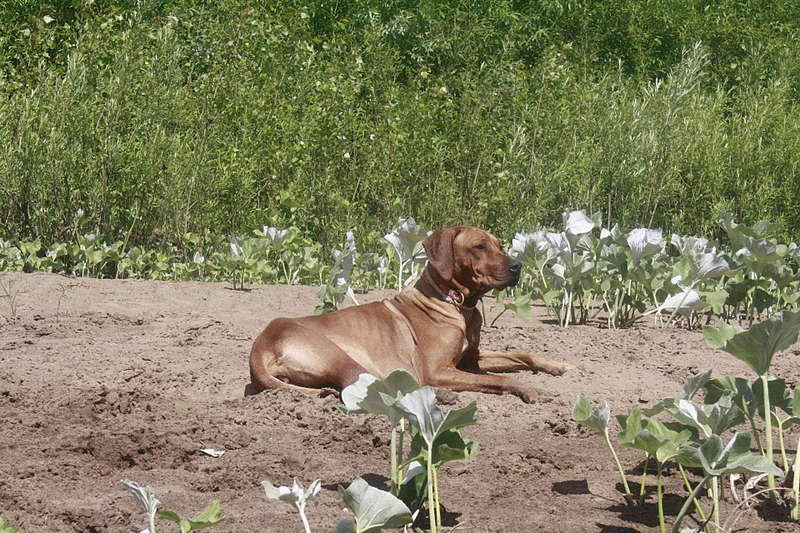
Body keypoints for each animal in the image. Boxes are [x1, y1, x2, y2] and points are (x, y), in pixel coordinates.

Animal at [247, 222, 572, 402]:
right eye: (479, 247)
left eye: (500, 245)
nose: (518, 266)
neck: (457, 304)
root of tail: (261, 345)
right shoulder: (438, 370)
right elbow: (499, 379)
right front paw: (527, 388)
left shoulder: (472, 359)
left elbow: (520, 355)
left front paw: (558, 365)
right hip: (341, 355)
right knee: (365, 384)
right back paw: (441, 395)